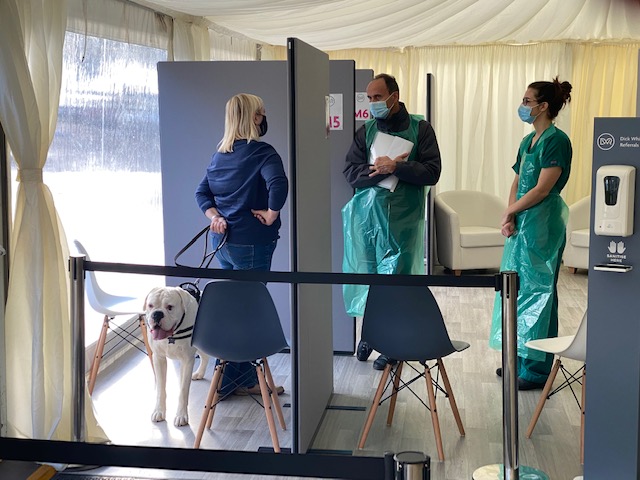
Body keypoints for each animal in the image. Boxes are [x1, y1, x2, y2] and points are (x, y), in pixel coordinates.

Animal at [144, 286, 209, 426]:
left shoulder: (187, 360)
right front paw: (159, 411)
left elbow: (183, 391)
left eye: (170, 307)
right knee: (205, 356)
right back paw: (199, 373)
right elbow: (160, 389)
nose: (157, 314)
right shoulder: (159, 359)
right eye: (150, 306)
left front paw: (181, 415)